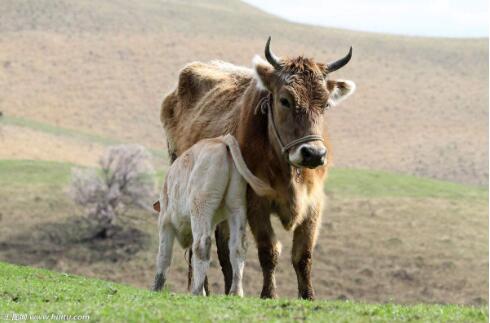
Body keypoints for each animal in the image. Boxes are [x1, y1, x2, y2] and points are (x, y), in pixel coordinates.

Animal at [152, 134, 274, 296]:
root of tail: (221, 140)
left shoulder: (165, 222)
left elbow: (163, 256)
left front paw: (156, 289)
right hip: (236, 205)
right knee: (238, 247)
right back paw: (236, 292)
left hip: (201, 205)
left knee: (202, 245)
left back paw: (197, 291)